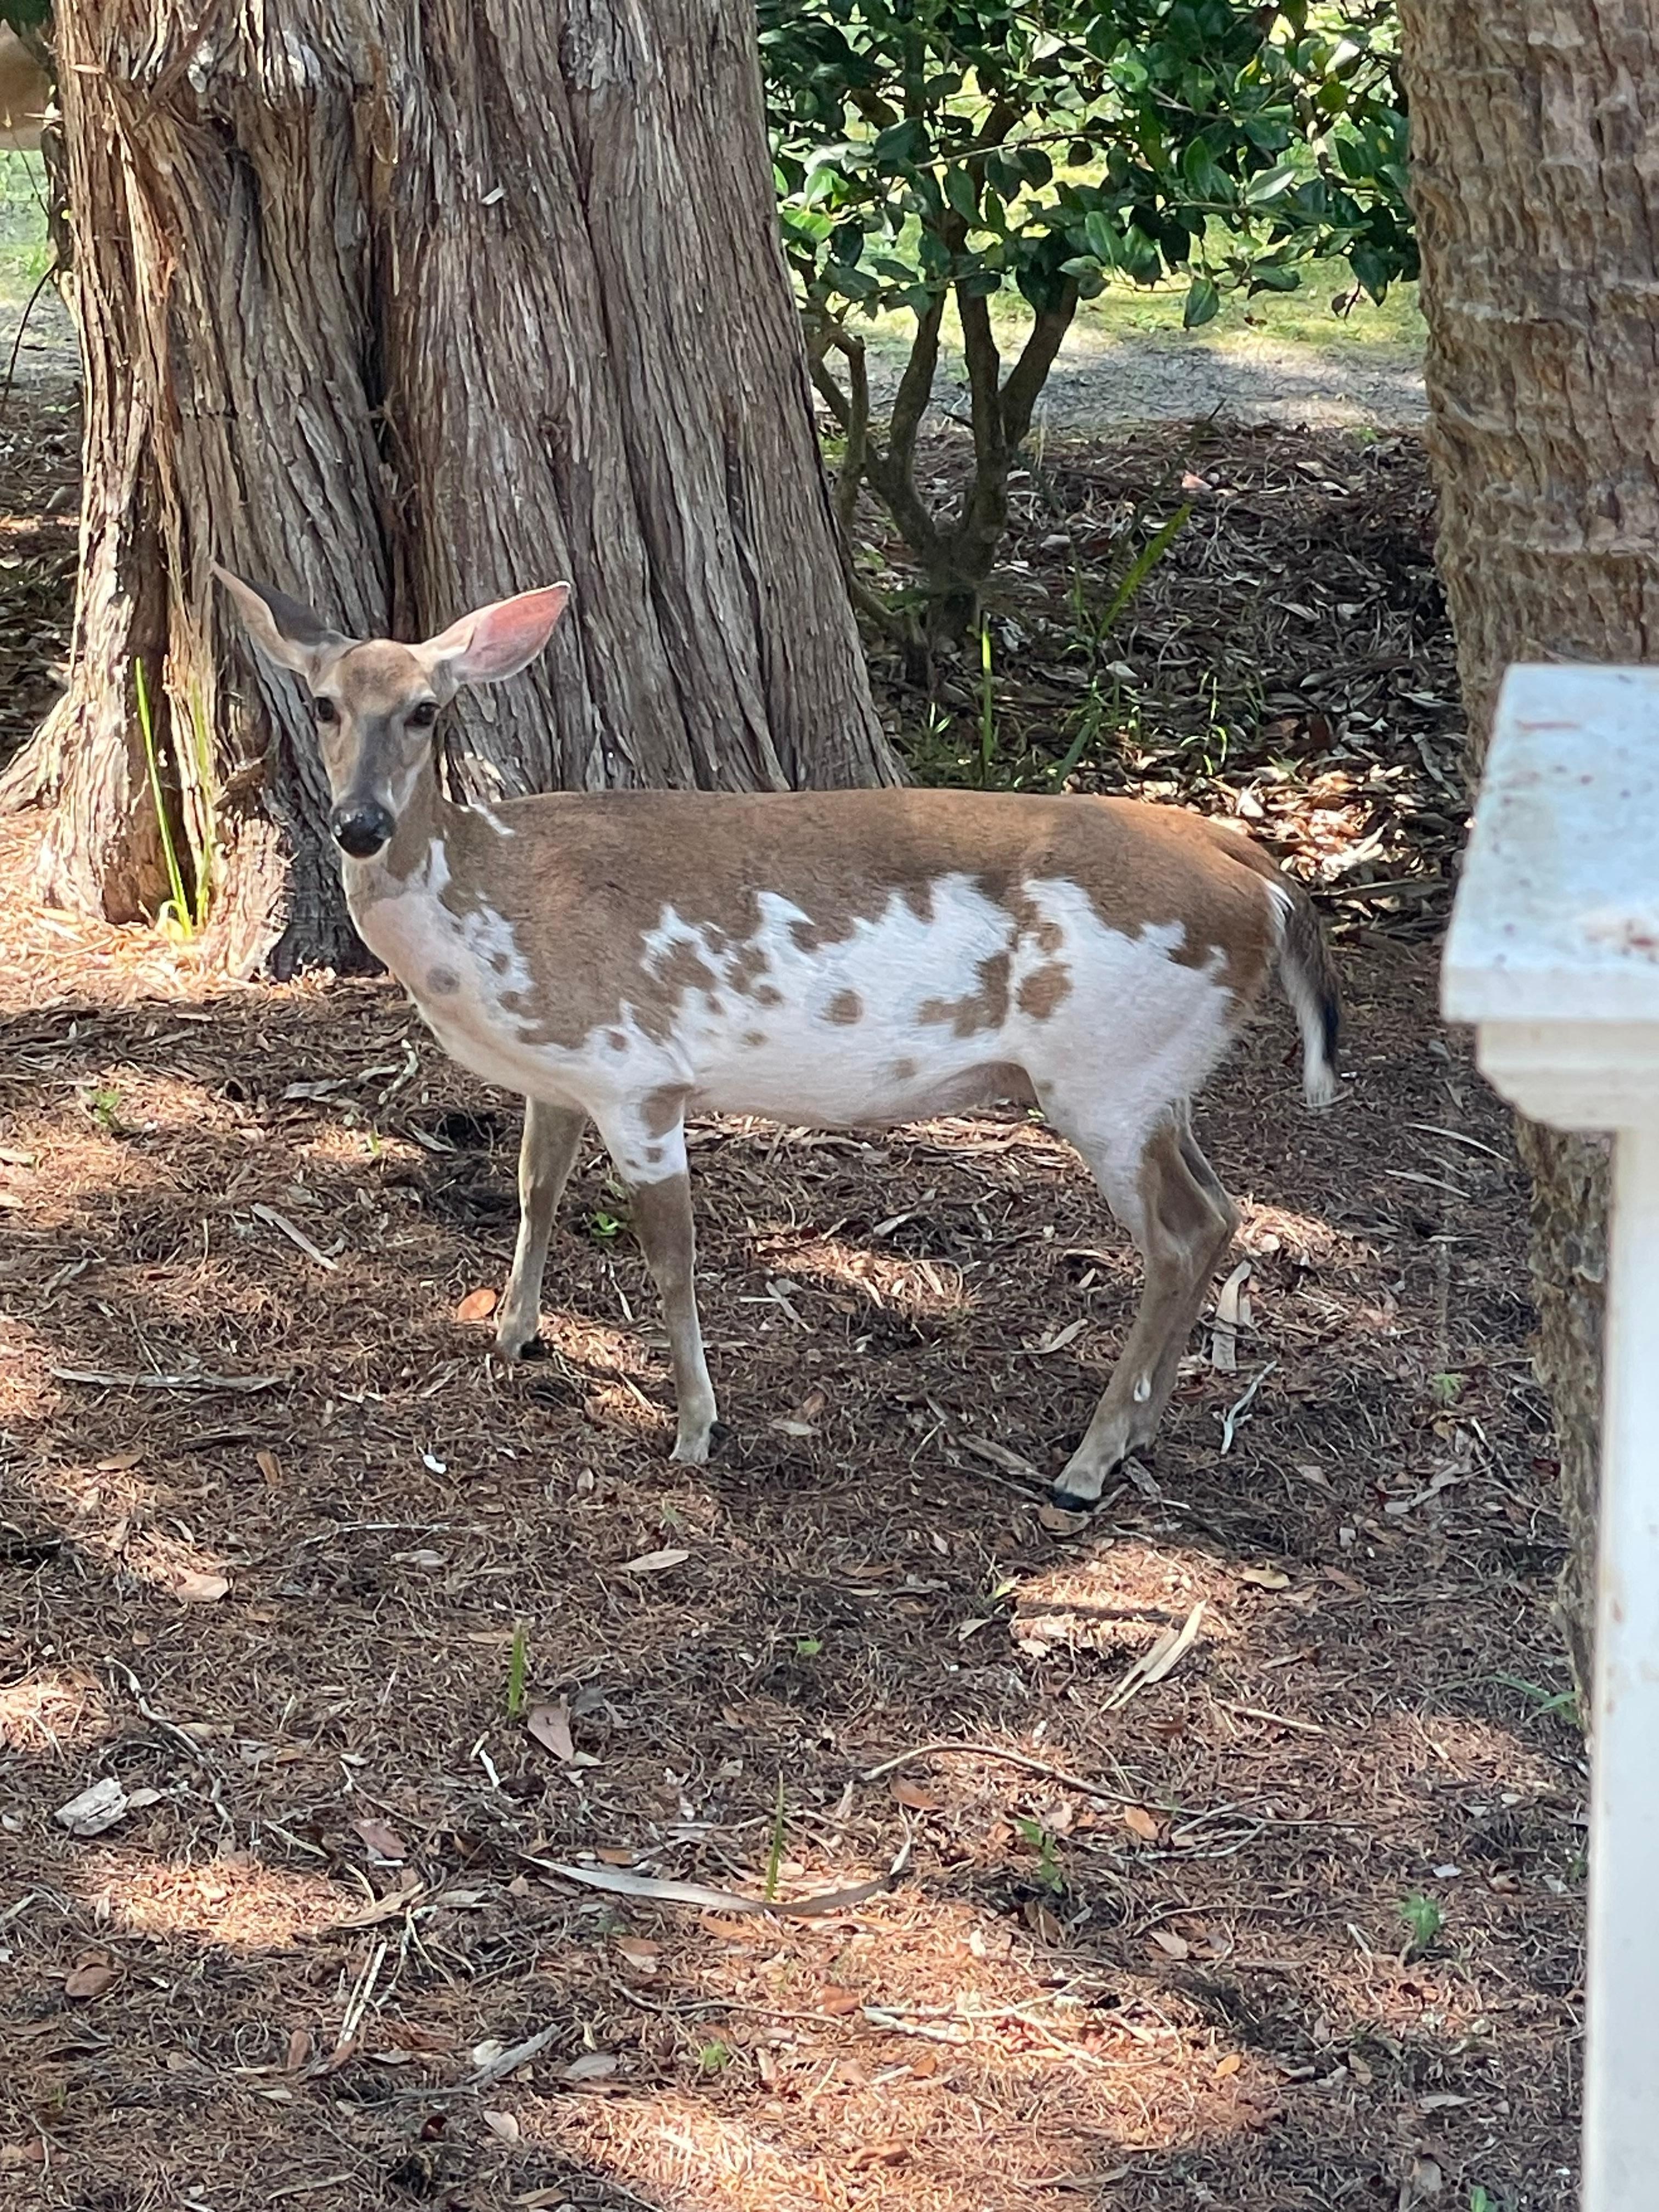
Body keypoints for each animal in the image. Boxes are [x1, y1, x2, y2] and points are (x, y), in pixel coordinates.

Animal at [216, 566, 1340, 1510]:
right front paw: (512, 1336)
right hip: (1156, 1076)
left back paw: (1087, 1463)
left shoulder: (637, 1072)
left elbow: (671, 1259)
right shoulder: (559, 1074)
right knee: (1220, 1211)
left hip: (1104, 1073)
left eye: (425, 709)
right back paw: (1140, 1429)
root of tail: (1259, 874)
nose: (360, 825)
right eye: (322, 703)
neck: (486, 910)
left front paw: (694, 1429)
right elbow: (536, 1191)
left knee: (1176, 1236)